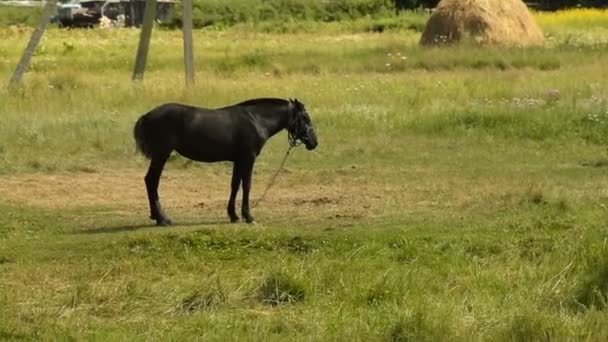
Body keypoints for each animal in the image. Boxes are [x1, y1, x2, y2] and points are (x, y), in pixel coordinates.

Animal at [134, 97, 318, 224]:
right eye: (305, 117)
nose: (314, 142)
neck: (256, 120)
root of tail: (147, 116)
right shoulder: (248, 158)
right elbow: (247, 185)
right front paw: (248, 216)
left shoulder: (238, 160)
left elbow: (235, 185)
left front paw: (233, 215)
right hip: (161, 155)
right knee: (152, 181)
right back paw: (162, 218)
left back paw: (156, 216)